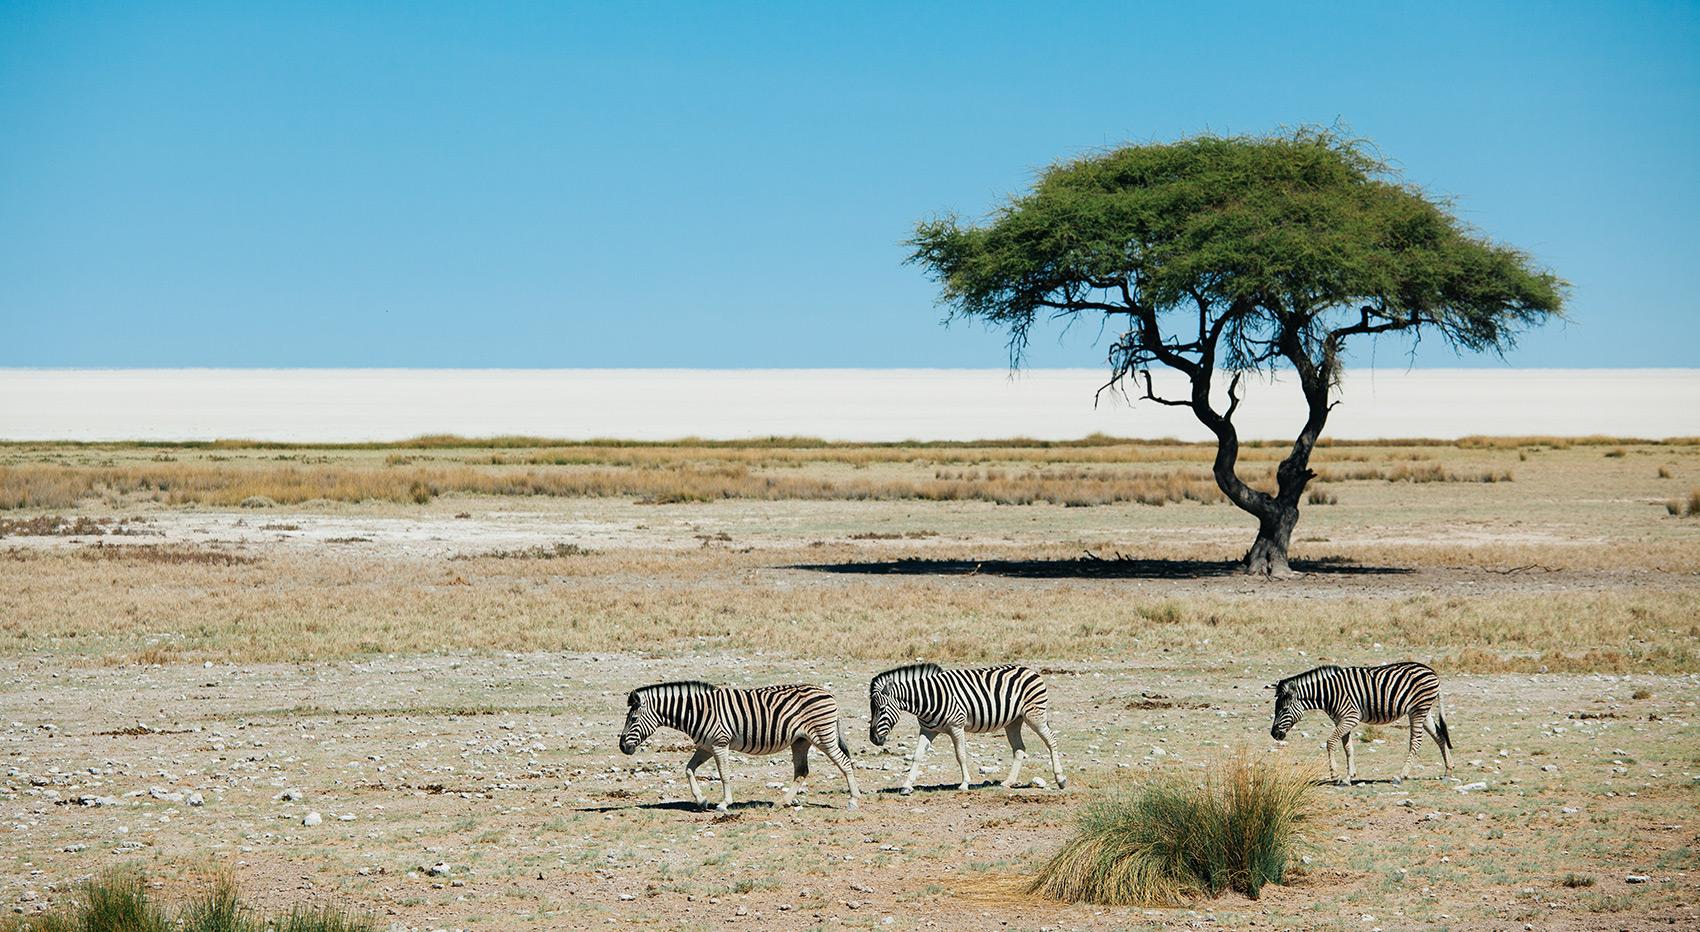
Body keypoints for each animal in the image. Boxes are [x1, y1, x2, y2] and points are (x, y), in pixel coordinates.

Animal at [618, 680, 861, 810]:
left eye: (633, 719)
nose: (622, 747)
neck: (696, 711)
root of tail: (828, 693)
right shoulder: (706, 746)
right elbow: (688, 770)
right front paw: (701, 800)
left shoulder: (719, 743)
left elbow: (724, 775)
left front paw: (724, 803)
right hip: (800, 741)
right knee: (802, 771)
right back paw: (781, 802)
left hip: (823, 736)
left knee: (844, 762)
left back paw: (853, 800)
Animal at [868, 663, 1065, 794]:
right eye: (872, 710)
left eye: (882, 709)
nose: (873, 739)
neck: (927, 699)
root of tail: (1029, 669)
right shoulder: (927, 730)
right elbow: (917, 756)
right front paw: (907, 786)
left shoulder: (956, 726)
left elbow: (960, 755)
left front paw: (964, 784)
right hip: (1013, 721)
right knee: (1019, 749)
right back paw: (1008, 782)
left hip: (1034, 715)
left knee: (1052, 741)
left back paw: (1060, 779)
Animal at [1267, 661, 1454, 785]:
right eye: (1276, 709)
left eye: (1284, 709)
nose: (1274, 734)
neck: (1329, 694)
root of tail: (1432, 671)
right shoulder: (1341, 720)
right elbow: (1348, 747)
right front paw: (1349, 777)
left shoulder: (1350, 717)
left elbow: (1330, 742)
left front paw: (1335, 775)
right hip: (1423, 711)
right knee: (1439, 736)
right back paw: (1448, 771)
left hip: (1418, 709)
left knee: (1416, 741)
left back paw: (1400, 776)